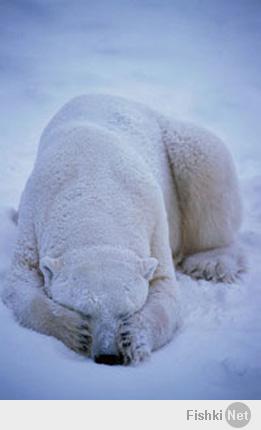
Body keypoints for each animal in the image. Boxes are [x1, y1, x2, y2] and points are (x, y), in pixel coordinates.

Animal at [2, 93, 245, 362]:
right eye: (84, 310)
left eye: (126, 311)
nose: (109, 356)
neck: (94, 191)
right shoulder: (34, 213)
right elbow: (20, 283)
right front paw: (75, 331)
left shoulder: (154, 221)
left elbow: (164, 288)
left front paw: (134, 338)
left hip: (177, 142)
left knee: (206, 165)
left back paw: (211, 263)